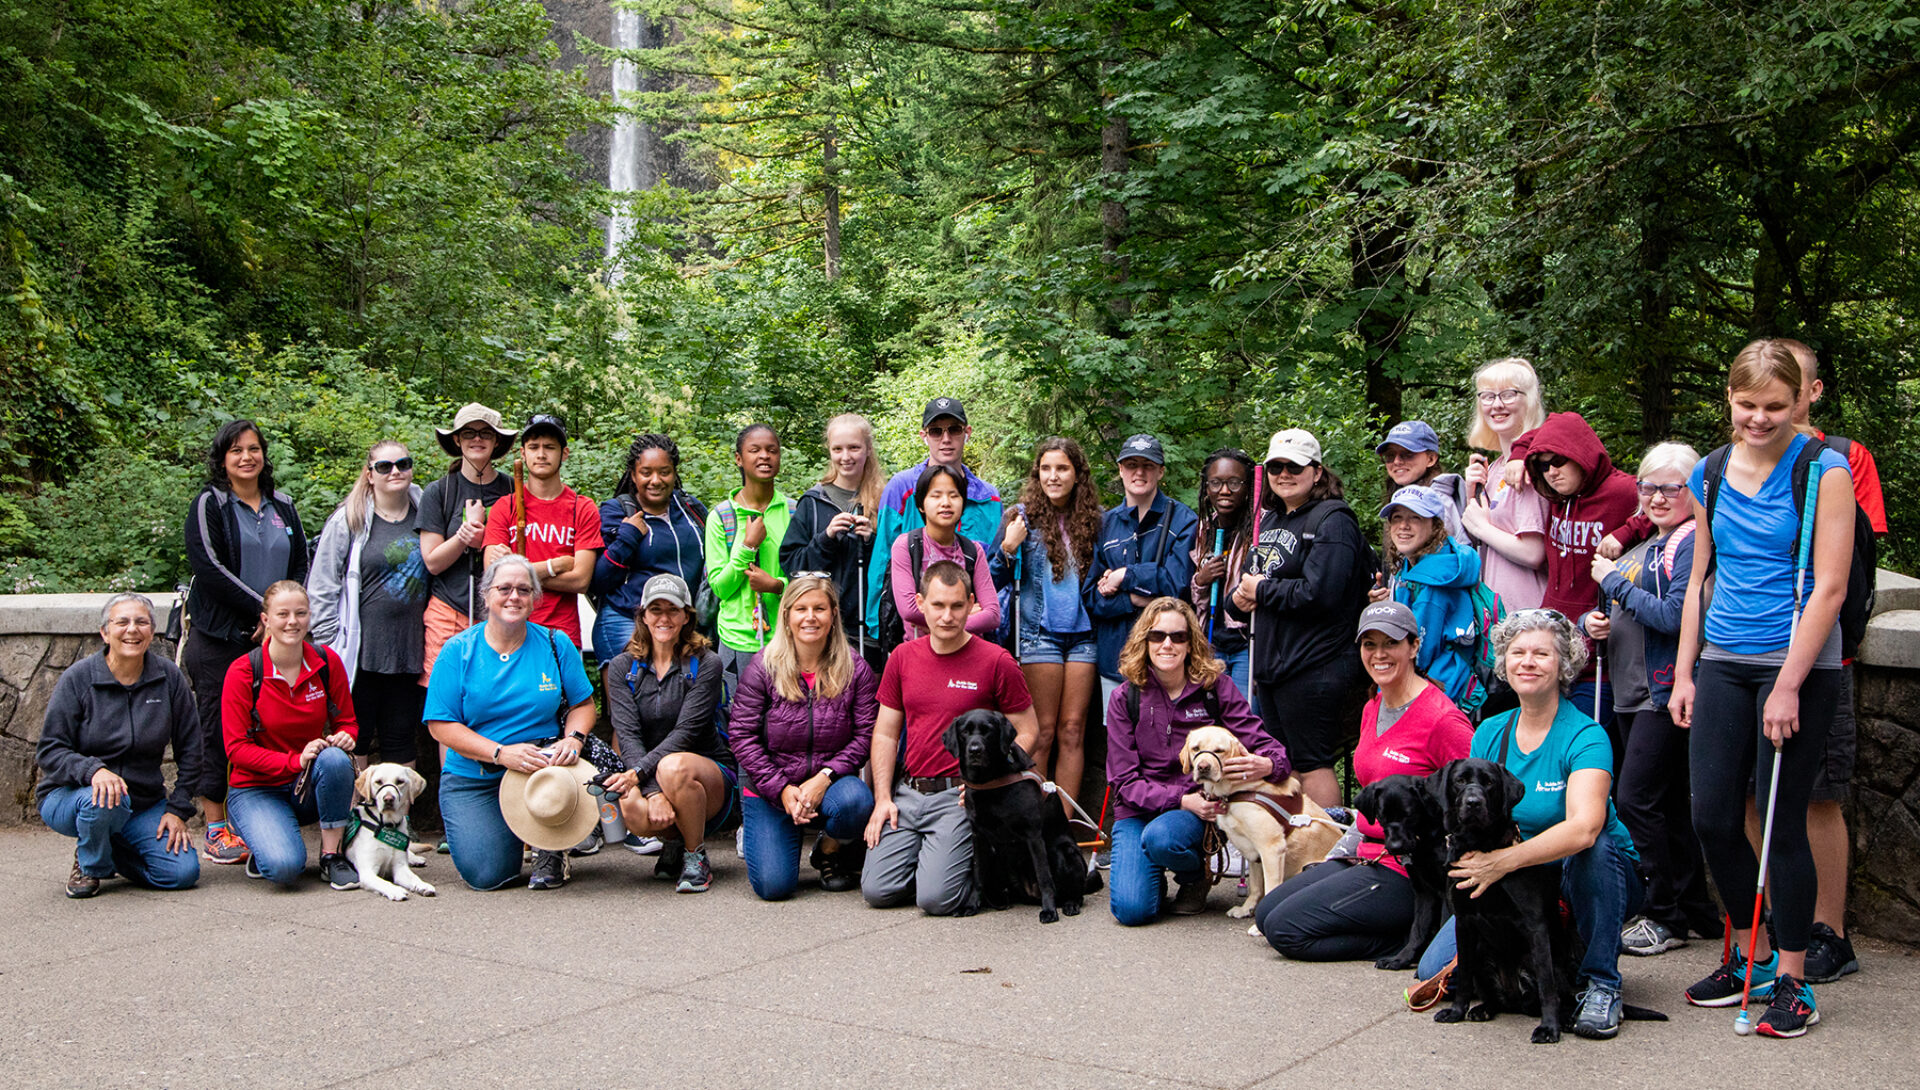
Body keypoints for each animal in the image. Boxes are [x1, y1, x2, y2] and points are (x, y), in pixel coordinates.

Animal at [347, 763, 437, 898]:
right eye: (378, 782)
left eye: (400, 782)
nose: (388, 799)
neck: (387, 825)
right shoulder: (367, 872)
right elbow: (383, 882)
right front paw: (395, 890)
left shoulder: (400, 868)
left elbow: (414, 877)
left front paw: (423, 885)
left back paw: (415, 859)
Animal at [940, 706, 1098, 921]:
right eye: (965, 732)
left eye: (988, 731)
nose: (975, 750)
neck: (990, 781)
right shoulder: (978, 836)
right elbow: (978, 875)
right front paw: (971, 906)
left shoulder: (1033, 835)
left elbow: (1044, 876)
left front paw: (1049, 911)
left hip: (1066, 852)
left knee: (1075, 892)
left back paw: (1070, 904)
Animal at [1175, 729, 1344, 924]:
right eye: (1196, 748)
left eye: (1219, 750)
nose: (1203, 767)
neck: (1235, 791)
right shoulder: (1253, 852)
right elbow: (1256, 887)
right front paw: (1245, 909)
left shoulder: (1271, 849)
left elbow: (1271, 889)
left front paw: (1258, 925)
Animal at [1359, 775, 1443, 971]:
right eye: (1382, 816)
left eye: (1408, 815)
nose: (1395, 847)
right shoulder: (1424, 891)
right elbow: (1418, 928)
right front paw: (1401, 959)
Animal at [1428, 756, 1574, 1043]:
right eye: (1459, 780)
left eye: (1489, 783)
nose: (1473, 802)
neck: (1479, 844)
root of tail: (1515, 998)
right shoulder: (1463, 923)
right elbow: (1463, 977)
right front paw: (1457, 1012)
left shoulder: (1535, 925)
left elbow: (1547, 986)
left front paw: (1549, 1028)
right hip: (1482, 953)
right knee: (1491, 995)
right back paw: (1483, 1008)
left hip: (1546, 960)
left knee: (1556, 994)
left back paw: (1564, 1019)